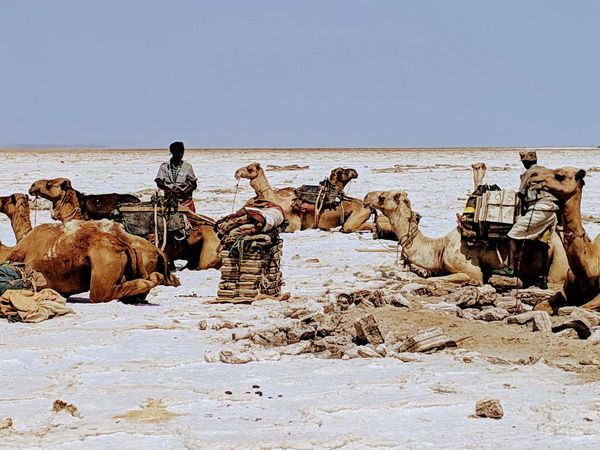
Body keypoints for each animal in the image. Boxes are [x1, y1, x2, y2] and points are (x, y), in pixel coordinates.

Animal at [234, 162, 376, 232]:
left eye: (250, 168)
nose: (237, 172)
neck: (276, 199)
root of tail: (369, 206)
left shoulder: (294, 224)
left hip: (357, 216)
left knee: (351, 227)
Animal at [364, 190, 568, 284]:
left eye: (382, 197)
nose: (366, 197)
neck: (440, 248)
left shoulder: (471, 270)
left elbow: (439, 279)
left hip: (559, 258)